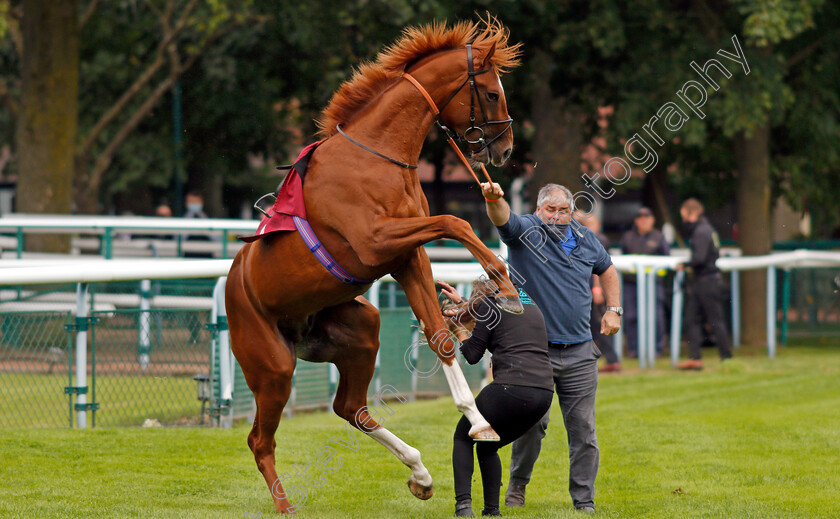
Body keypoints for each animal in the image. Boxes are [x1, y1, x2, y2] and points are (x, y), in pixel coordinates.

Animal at [226, 18, 520, 512]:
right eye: (493, 92)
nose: (505, 147)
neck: (376, 155)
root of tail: (233, 289)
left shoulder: (406, 256)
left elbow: (440, 336)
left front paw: (478, 421)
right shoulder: (376, 241)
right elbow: (456, 220)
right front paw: (506, 285)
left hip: (361, 329)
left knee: (352, 409)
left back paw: (419, 471)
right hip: (273, 369)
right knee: (259, 440)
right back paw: (285, 505)